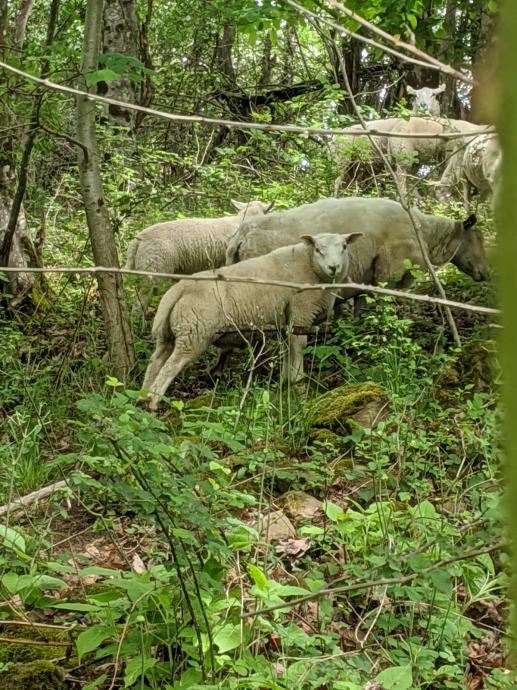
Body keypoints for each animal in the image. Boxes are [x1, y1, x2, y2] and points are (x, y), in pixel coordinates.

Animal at [142, 232, 363, 410]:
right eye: (318, 249)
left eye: (344, 246)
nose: (333, 267)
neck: (310, 267)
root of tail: (178, 289)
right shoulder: (301, 313)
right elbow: (299, 347)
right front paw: (298, 380)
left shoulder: (285, 320)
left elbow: (287, 349)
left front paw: (285, 379)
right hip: (194, 331)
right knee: (170, 366)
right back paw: (153, 403)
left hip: (168, 333)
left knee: (156, 361)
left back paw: (141, 398)